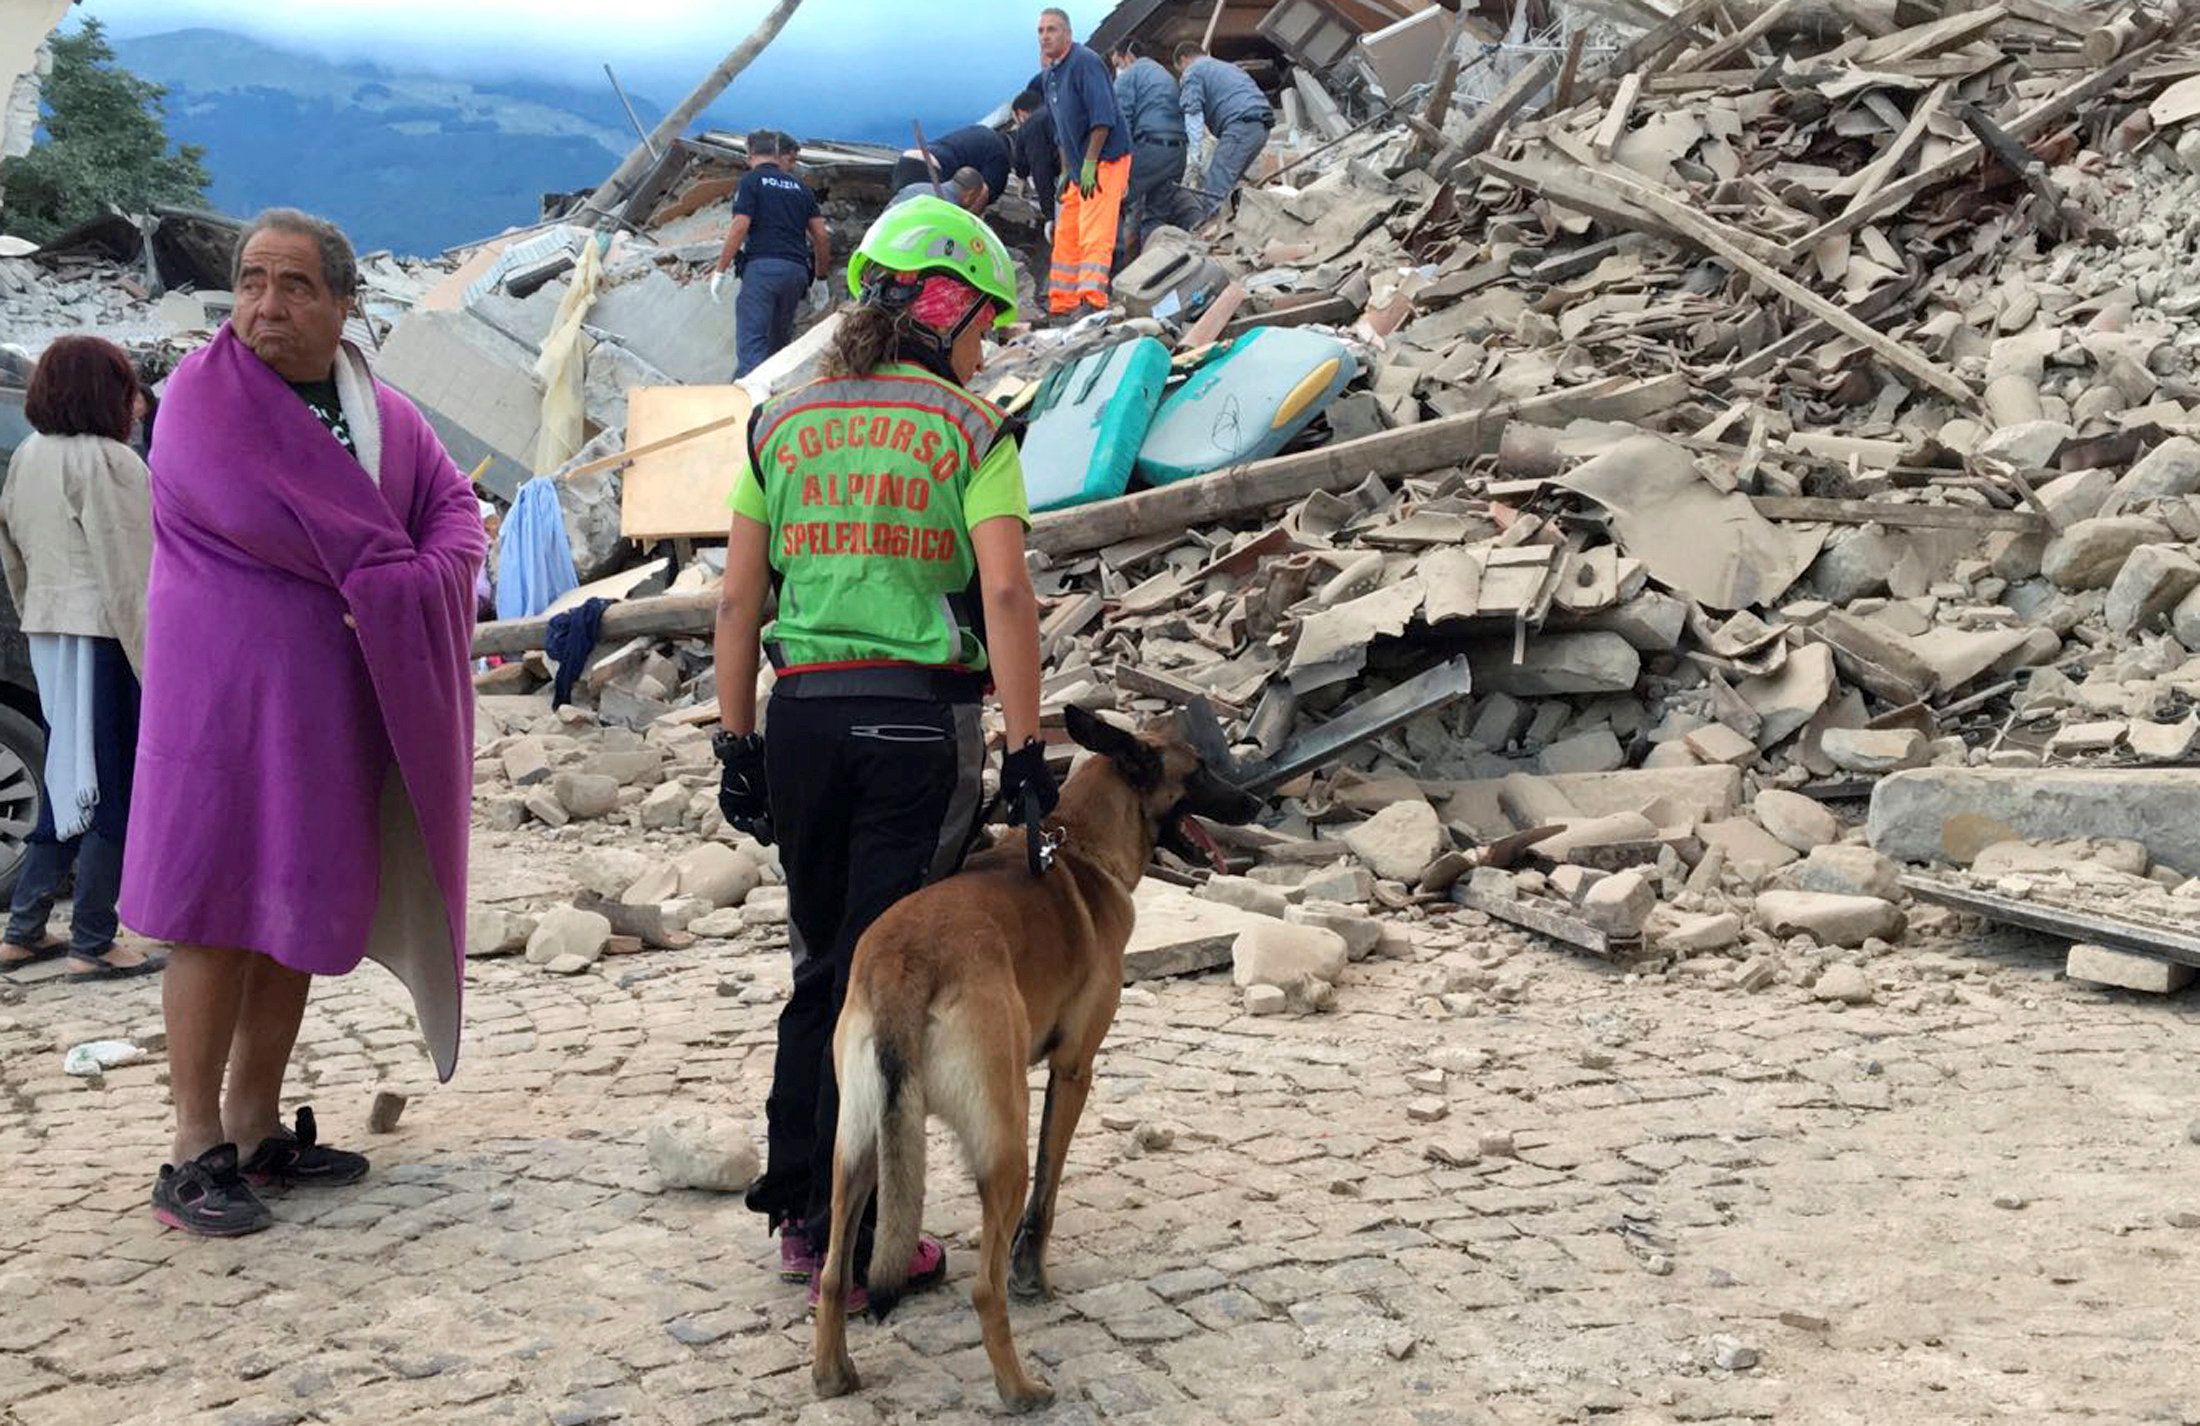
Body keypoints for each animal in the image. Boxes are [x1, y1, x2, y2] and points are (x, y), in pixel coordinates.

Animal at [814, 699, 1267, 1399]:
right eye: (1198, 772)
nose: (1256, 801)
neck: (1076, 845)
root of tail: (903, 964)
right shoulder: (1073, 1069)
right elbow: (1047, 1196)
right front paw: (1031, 1274)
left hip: (859, 1147)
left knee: (835, 1272)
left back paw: (833, 1374)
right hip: (1004, 1143)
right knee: (983, 1286)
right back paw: (1019, 1390)